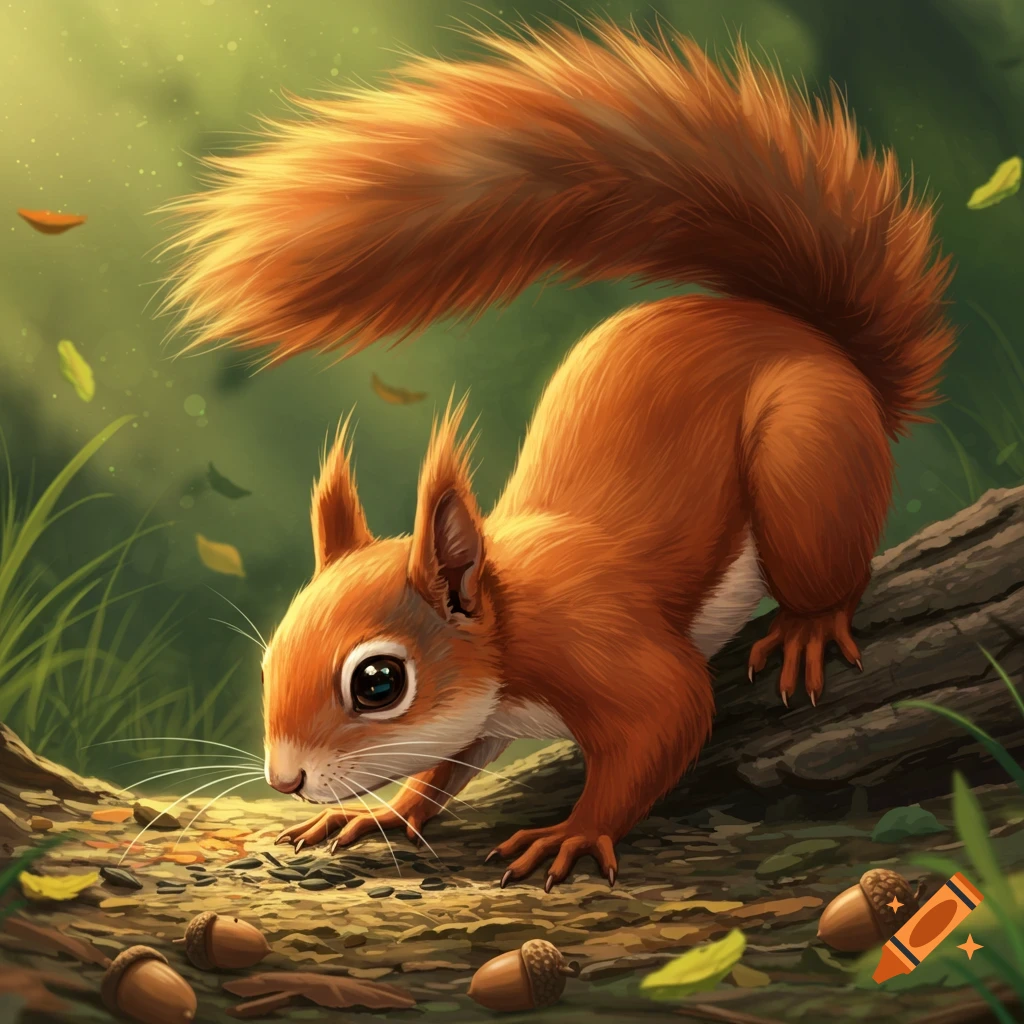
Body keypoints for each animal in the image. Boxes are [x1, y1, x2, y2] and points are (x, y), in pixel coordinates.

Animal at [158, 20, 956, 889]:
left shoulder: (603, 645)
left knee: (828, 570)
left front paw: (572, 833)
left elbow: (670, 719)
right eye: (270, 661)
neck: (512, 617)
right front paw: (383, 813)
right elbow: (444, 767)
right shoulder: (480, 716)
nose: (285, 780)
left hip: (806, 457)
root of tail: (818, 343)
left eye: (378, 683)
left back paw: (809, 626)